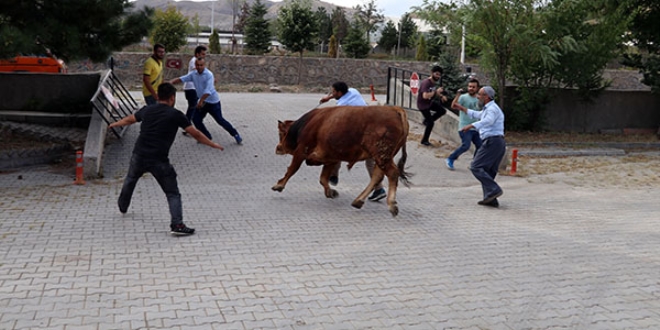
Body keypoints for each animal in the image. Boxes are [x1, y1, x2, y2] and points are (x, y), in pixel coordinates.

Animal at [270, 105, 410, 217]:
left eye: (281, 134)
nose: (278, 148)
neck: (308, 123)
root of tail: (394, 109)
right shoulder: (330, 158)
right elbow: (323, 178)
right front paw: (330, 192)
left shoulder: (301, 151)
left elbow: (292, 170)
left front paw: (279, 185)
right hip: (382, 157)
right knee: (377, 176)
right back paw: (358, 201)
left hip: (382, 155)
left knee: (391, 173)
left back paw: (391, 205)